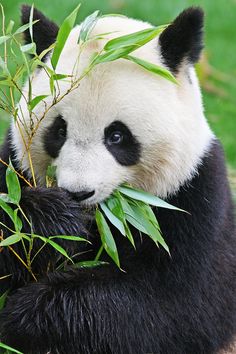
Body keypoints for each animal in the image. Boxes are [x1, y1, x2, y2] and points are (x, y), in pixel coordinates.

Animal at [0, 4, 235, 354]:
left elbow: (172, 307)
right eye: (58, 130)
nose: (78, 193)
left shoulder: (196, 199)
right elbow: (12, 220)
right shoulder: (13, 167)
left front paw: (27, 316)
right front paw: (49, 222)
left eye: (117, 136)